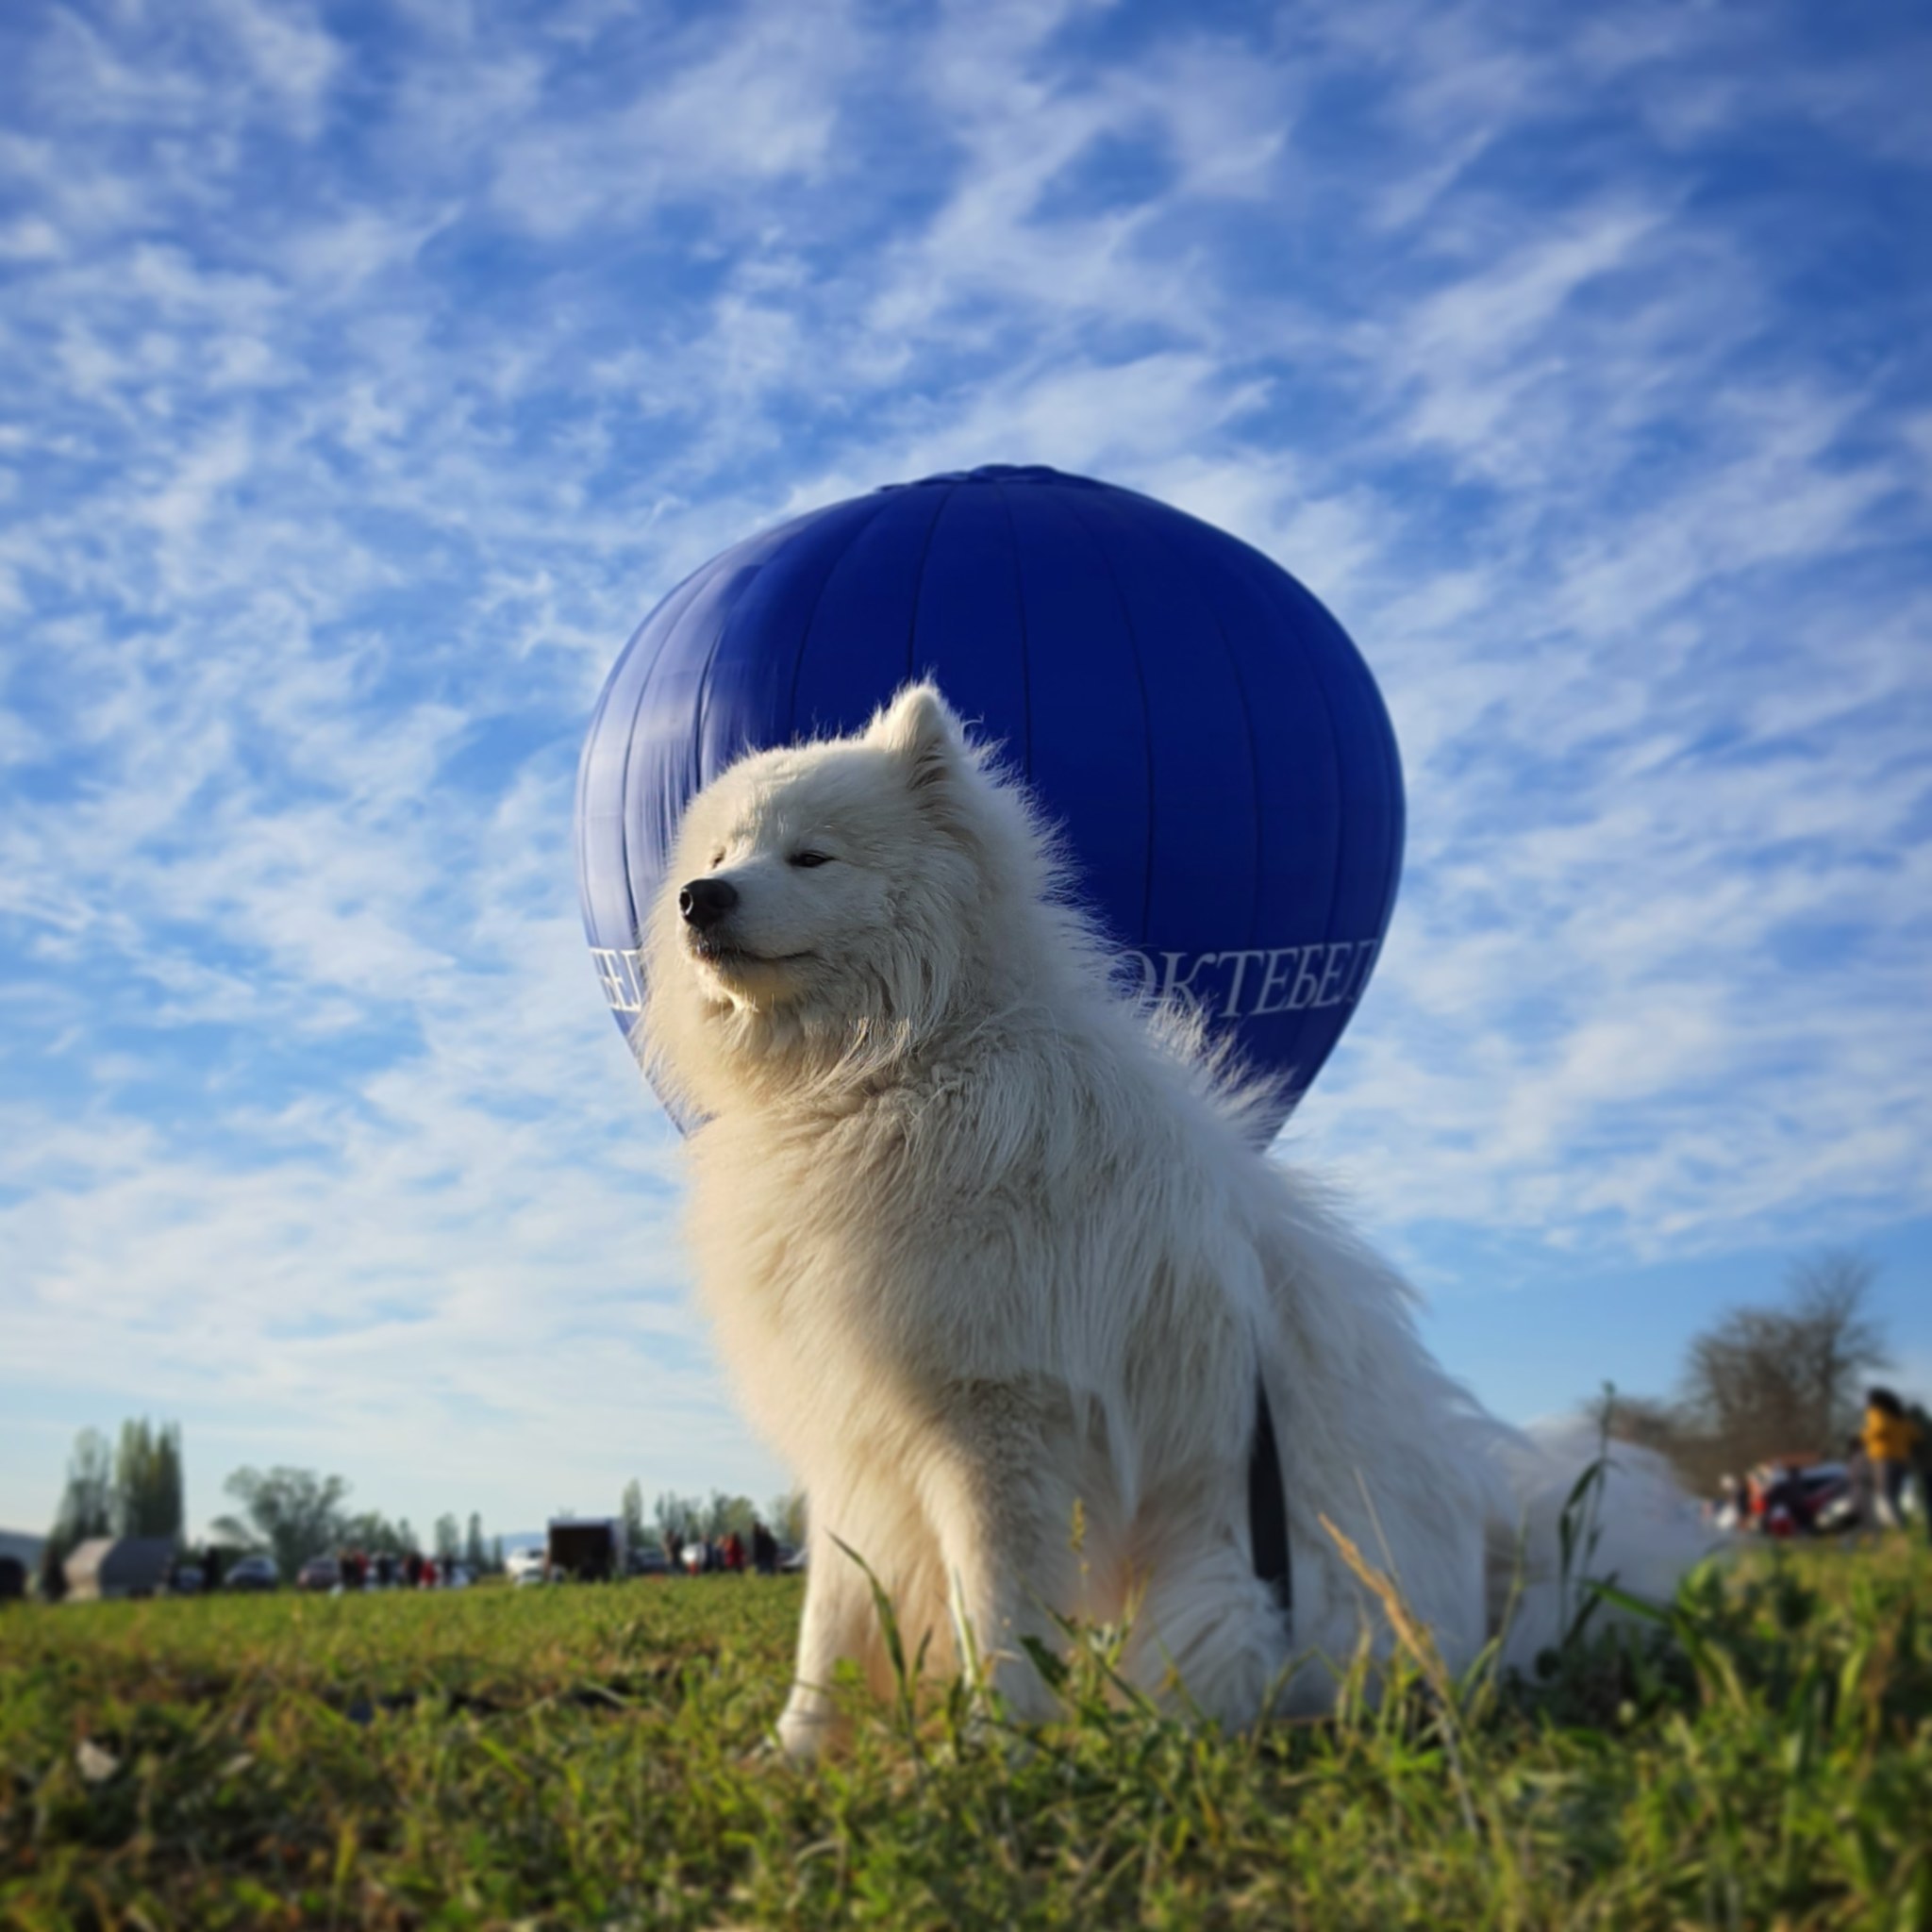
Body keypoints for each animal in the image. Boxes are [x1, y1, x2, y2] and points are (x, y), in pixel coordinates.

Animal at [637, 688, 1707, 1761]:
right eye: (725, 851)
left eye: (811, 856)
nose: (699, 896)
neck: (892, 1070)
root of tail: (1490, 1594)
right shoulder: (857, 1439)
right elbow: (833, 1622)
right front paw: (793, 1750)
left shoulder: (1002, 1425)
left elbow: (996, 1611)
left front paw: (989, 1748)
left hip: (1228, 1598)